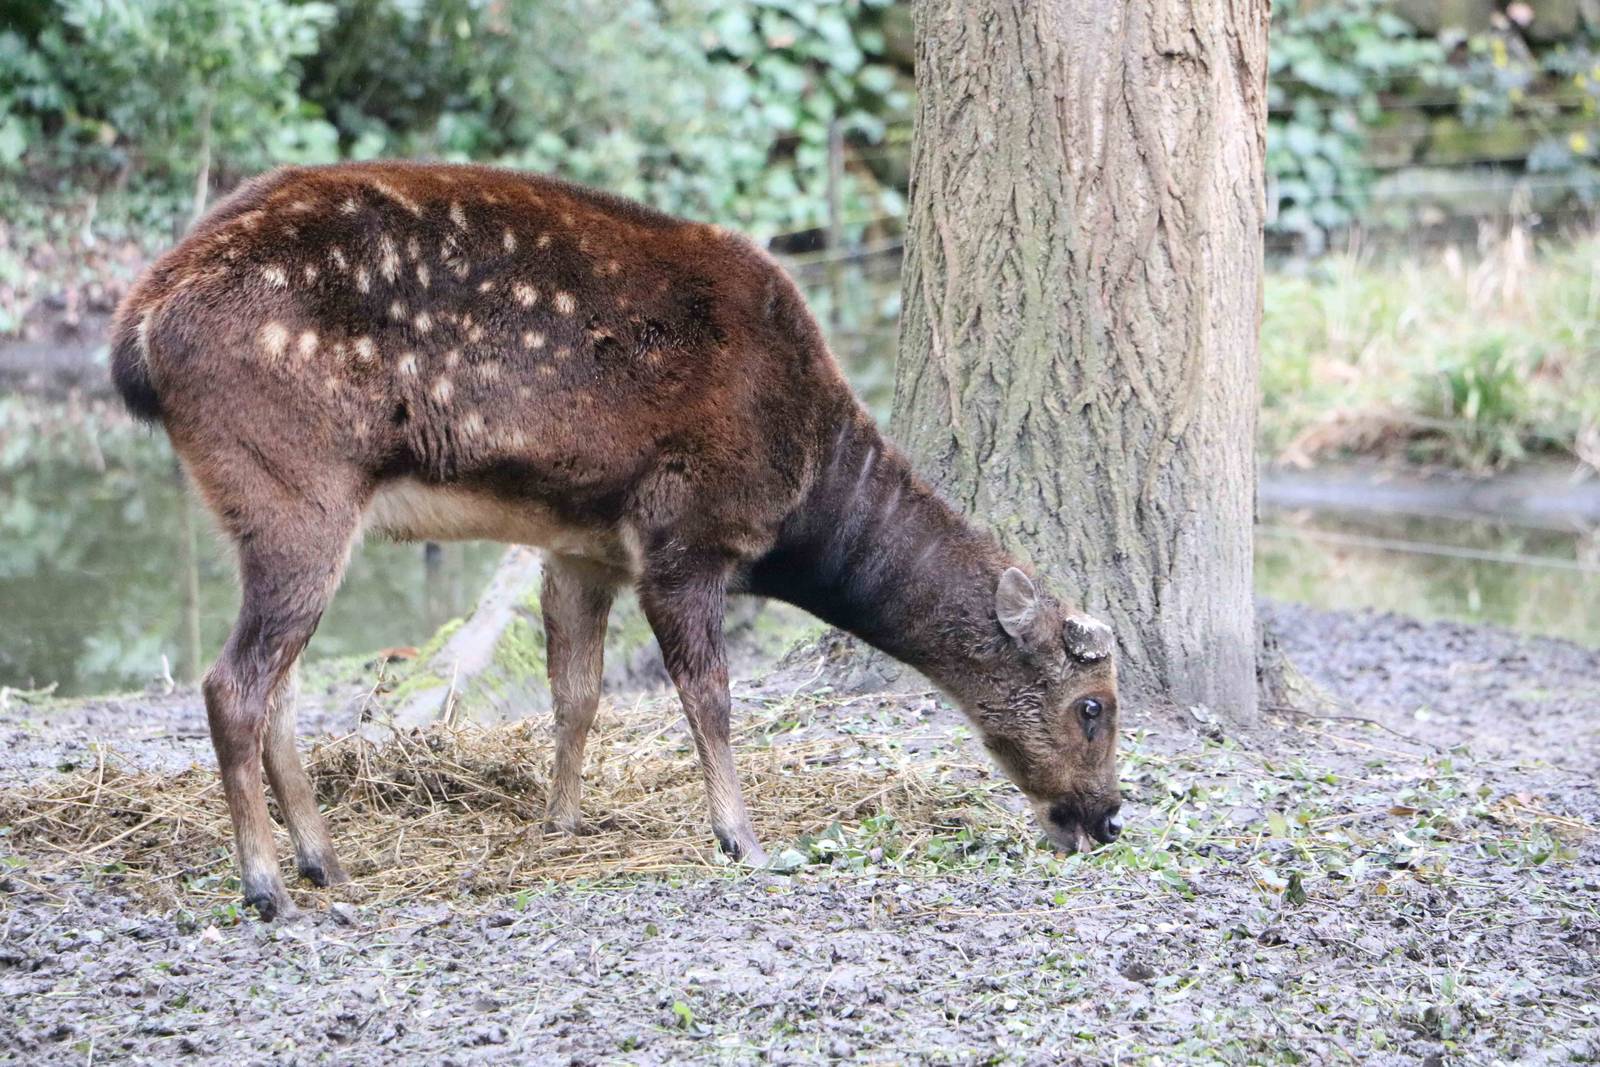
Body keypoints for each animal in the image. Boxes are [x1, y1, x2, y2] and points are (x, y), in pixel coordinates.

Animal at [109, 162, 1123, 920]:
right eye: (1093, 705)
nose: (1108, 817)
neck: (804, 491)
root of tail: (138, 328)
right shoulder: (687, 533)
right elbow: (710, 695)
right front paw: (741, 836)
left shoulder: (582, 545)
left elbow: (578, 692)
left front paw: (560, 820)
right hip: (295, 487)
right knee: (233, 683)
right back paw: (268, 885)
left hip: (263, 507)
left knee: (276, 685)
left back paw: (326, 862)